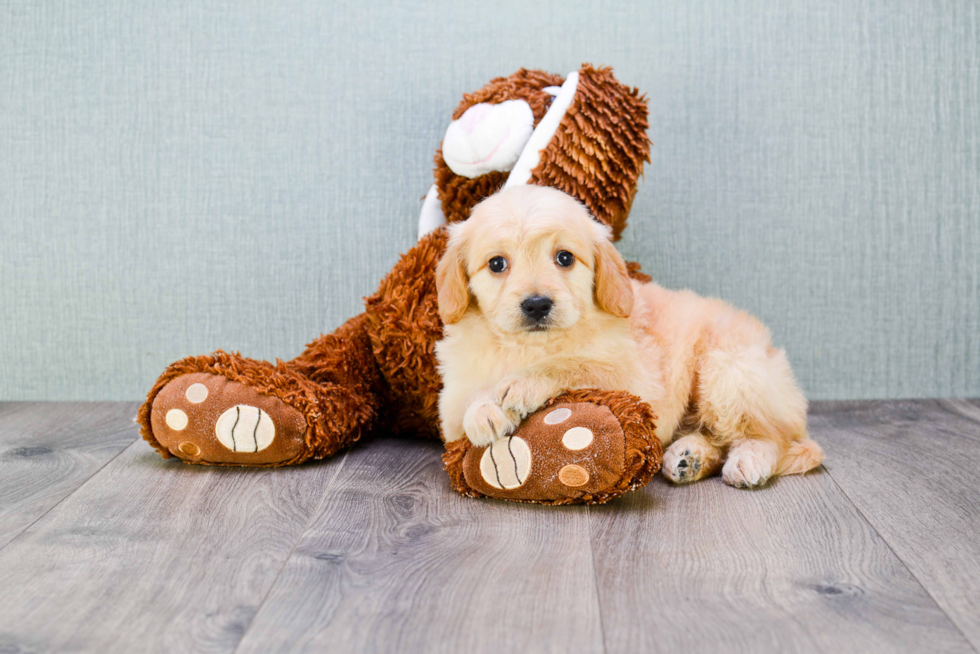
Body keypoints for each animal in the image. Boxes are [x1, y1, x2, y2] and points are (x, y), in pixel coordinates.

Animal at [432, 184, 824, 486]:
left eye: (564, 258)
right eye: (497, 263)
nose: (537, 304)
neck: (531, 347)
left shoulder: (636, 383)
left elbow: (573, 363)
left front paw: (523, 384)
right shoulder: (450, 403)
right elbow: (469, 399)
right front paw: (483, 410)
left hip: (730, 370)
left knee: (774, 437)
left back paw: (747, 460)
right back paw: (688, 457)